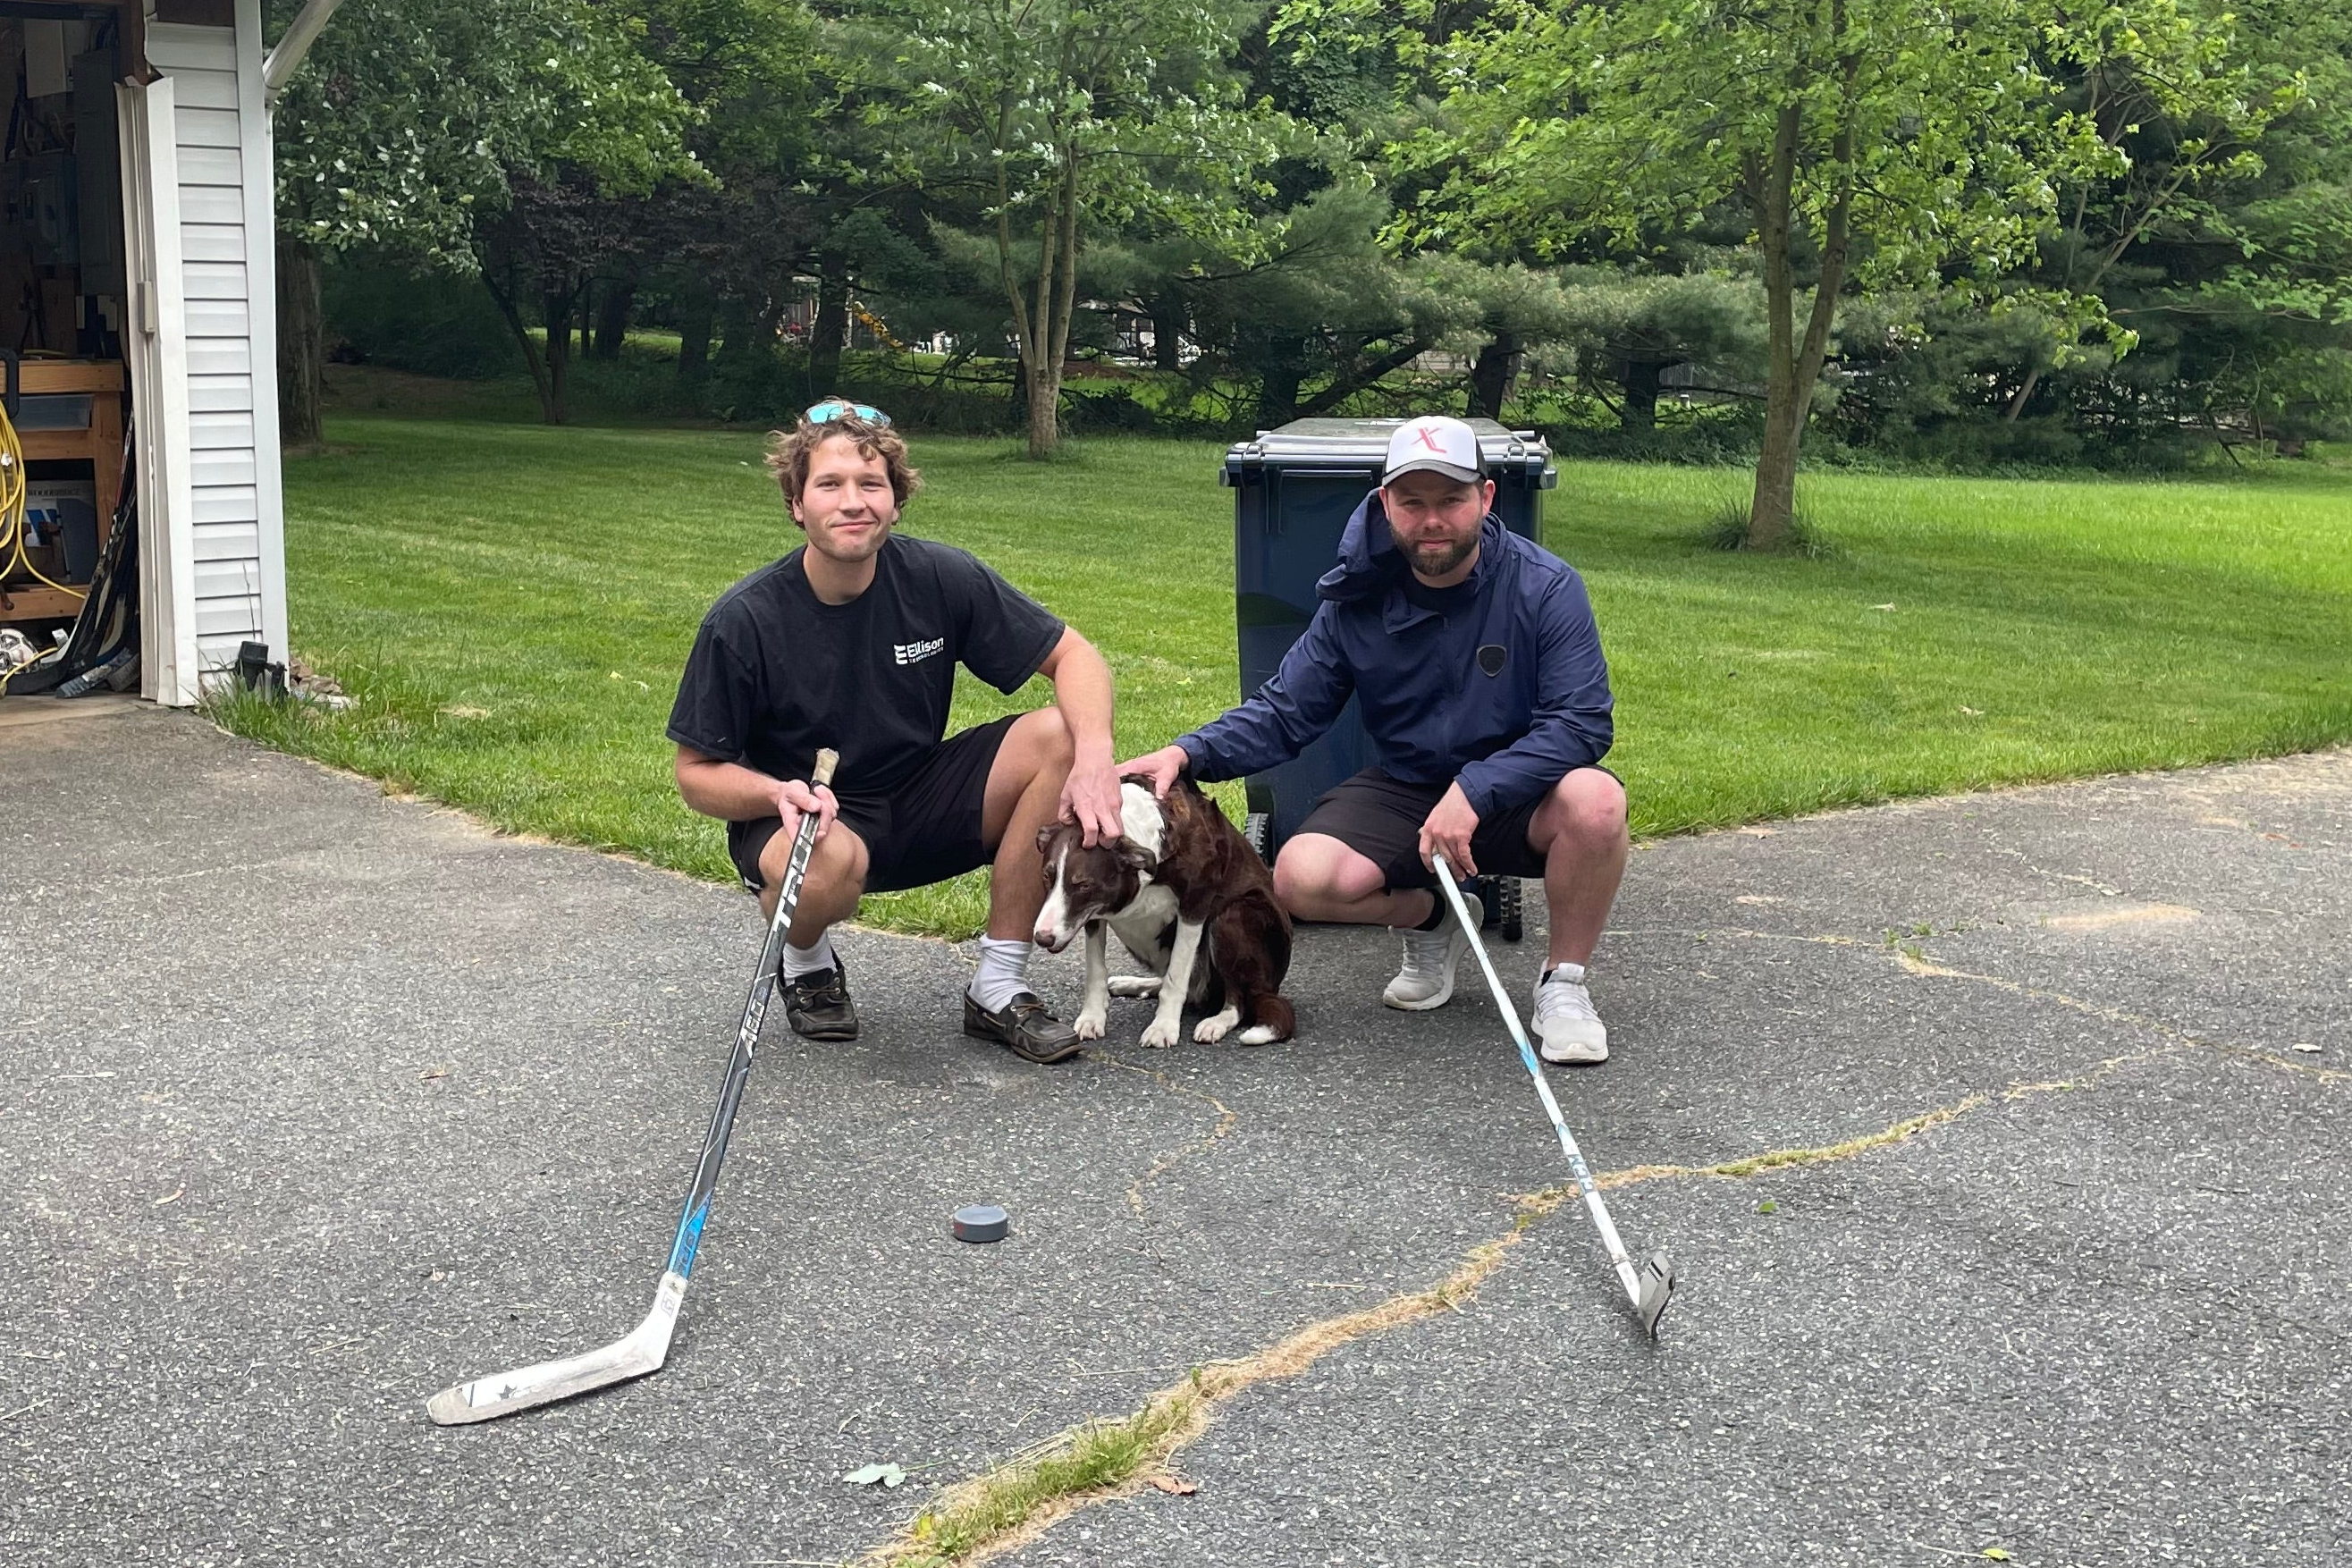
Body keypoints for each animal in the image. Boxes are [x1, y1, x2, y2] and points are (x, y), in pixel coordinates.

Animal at [1034, 780, 1298, 1048]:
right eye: (1047, 876)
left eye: (1084, 885)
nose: (1042, 938)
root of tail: (1268, 989)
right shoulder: (1095, 915)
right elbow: (1096, 970)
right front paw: (1092, 1018)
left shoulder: (1194, 906)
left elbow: (1175, 978)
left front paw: (1163, 1027)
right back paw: (1135, 983)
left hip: (1233, 916)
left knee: (1236, 1000)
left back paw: (1217, 1022)